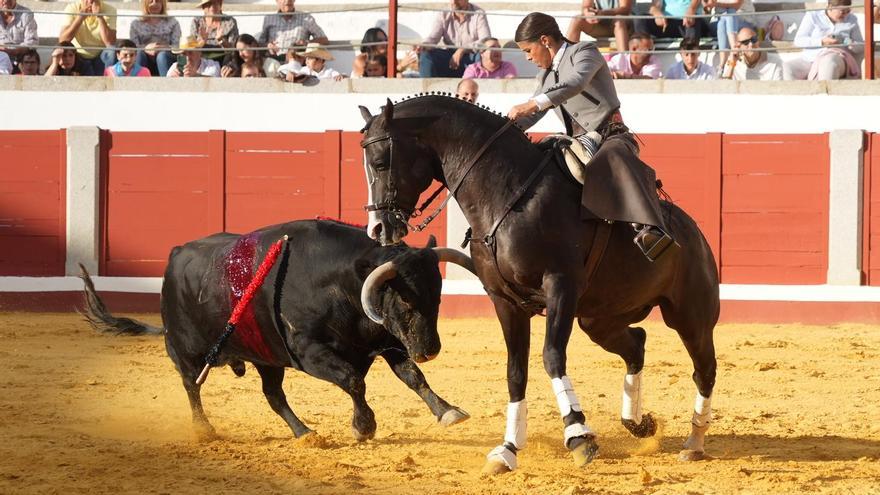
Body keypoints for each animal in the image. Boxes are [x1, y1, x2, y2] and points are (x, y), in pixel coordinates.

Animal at [81, 220, 478, 442]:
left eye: (437, 297)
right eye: (407, 301)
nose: (429, 349)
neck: (341, 285)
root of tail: (175, 254)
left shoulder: (386, 342)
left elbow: (414, 377)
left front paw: (448, 412)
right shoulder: (310, 352)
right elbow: (353, 381)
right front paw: (363, 427)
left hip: (266, 360)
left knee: (273, 395)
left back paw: (304, 433)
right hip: (186, 351)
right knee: (192, 387)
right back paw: (204, 430)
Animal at [360, 95, 720, 474]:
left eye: (380, 162)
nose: (379, 228)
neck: (504, 195)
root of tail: (692, 230)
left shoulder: (560, 286)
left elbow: (551, 356)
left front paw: (579, 436)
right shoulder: (504, 301)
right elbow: (515, 371)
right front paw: (507, 449)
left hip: (691, 316)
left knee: (704, 370)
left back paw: (694, 443)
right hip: (599, 320)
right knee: (636, 343)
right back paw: (638, 423)